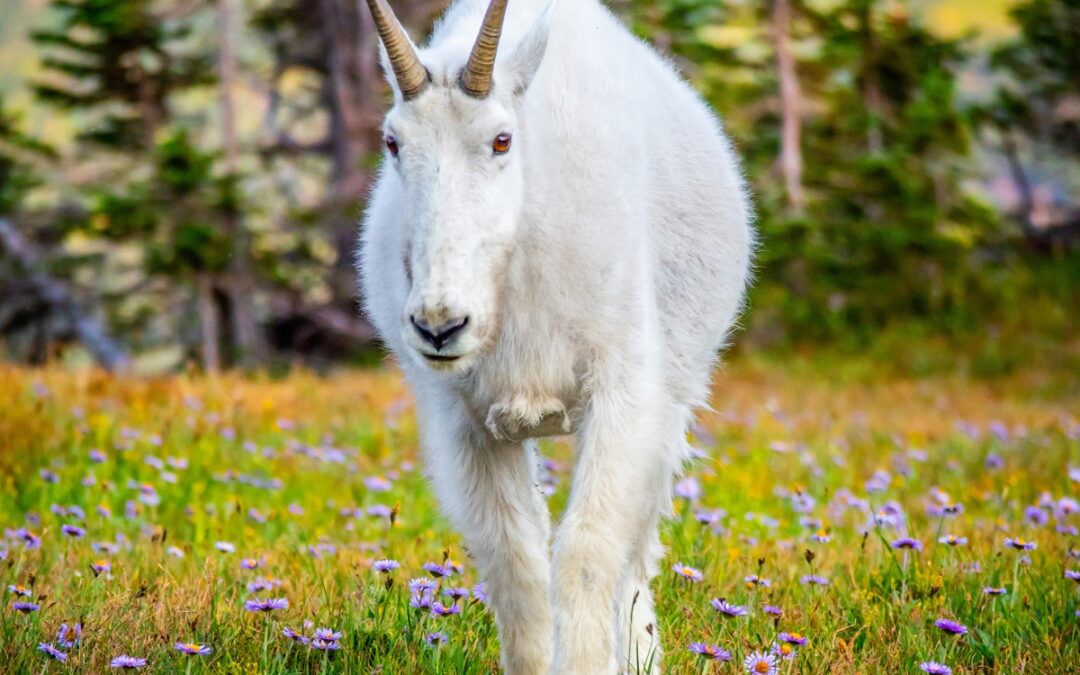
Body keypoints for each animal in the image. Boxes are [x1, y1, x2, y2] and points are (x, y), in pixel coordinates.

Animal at [356, 0, 751, 669]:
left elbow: (588, 550)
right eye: (392, 142)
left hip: (674, 398)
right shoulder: (465, 420)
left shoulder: (623, 392)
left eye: (501, 139)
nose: (441, 325)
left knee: (636, 551)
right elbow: (515, 560)